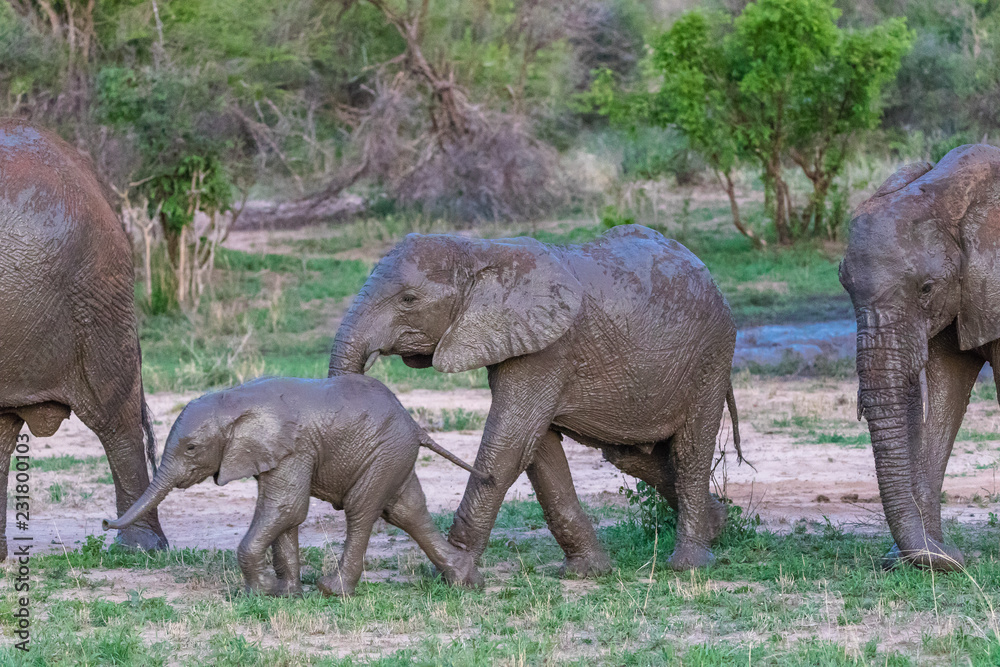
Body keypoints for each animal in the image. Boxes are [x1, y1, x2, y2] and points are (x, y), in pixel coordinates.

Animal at [103, 375, 489, 596]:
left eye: (192, 448)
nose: (106, 522)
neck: (234, 400)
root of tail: (415, 425)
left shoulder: (294, 449)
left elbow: (285, 508)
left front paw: (261, 591)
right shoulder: (276, 454)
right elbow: (285, 517)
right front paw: (287, 594)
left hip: (384, 452)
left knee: (362, 509)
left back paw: (334, 590)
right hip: (394, 455)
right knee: (407, 511)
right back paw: (466, 581)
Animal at [329, 223, 743, 579]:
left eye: (408, 299)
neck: (480, 251)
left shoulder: (548, 349)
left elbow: (510, 445)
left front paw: (453, 570)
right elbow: (538, 450)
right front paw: (586, 572)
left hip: (712, 353)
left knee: (689, 451)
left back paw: (689, 564)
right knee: (629, 456)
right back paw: (719, 524)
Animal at [839, 143, 1000, 572]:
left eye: (927, 288)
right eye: (843, 283)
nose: (959, 556)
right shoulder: (962, 297)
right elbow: (946, 393)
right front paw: (934, 556)